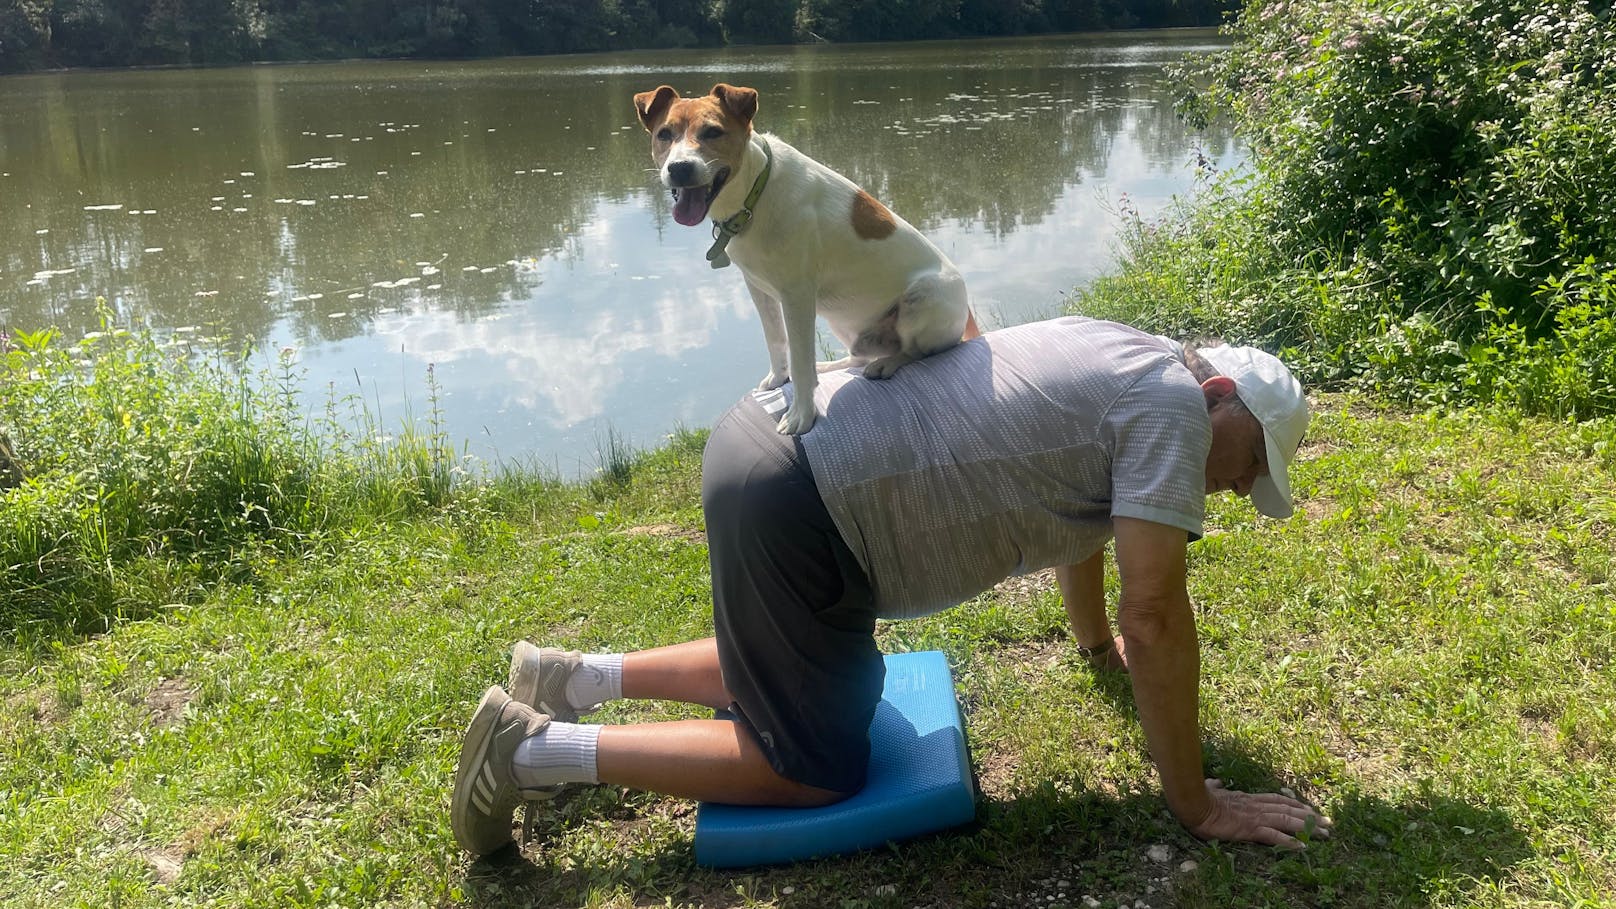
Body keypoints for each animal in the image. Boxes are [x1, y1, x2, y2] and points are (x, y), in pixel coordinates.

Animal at [636, 83, 976, 433]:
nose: (679, 168)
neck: (753, 196)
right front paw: (778, 378)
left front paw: (801, 414)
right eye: (664, 134)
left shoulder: (796, 295)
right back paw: (829, 366)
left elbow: (800, 360)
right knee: (858, 356)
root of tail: (968, 316)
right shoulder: (758, 288)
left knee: (917, 352)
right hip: (844, 321)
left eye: (713, 132)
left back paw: (886, 363)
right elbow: (775, 339)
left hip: (922, 300)